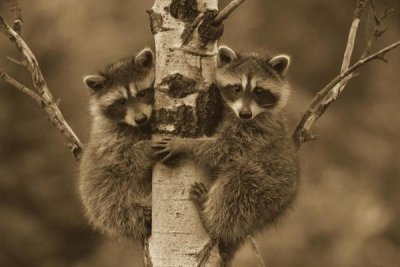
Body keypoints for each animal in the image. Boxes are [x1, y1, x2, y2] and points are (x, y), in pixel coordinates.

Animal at [78, 47, 155, 241]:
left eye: (142, 93)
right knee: (122, 208)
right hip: (106, 201)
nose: (140, 118)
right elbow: (122, 160)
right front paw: (144, 149)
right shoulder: (109, 140)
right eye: (121, 101)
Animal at [153, 46, 300, 266]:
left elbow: (222, 150)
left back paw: (210, 219)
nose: (245, 114)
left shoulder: (255, 132)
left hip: (266, 188)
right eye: (237, 88)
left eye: (259, 91)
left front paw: (184, 144)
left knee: (237, 184)